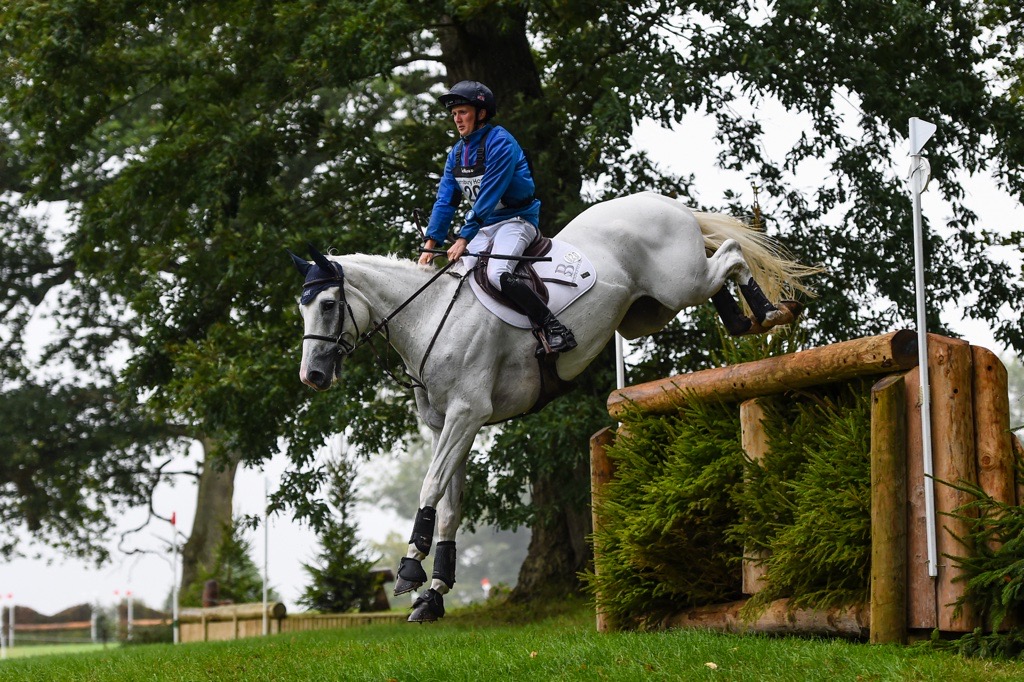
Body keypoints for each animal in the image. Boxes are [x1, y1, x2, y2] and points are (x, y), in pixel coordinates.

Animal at [291, 191, 812, 622]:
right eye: (303, 307)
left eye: (328, 305)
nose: (311, 378)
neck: (429, 315)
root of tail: (664, 201)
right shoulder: (446, 425)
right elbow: (451, 506)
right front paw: (434, 593)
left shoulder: (466, 414)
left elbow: (431, 486)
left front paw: (408, 570)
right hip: (650, 311)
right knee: (718, 273)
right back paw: (747, 320)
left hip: (678, 283)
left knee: (731, 255)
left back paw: (770, 312)